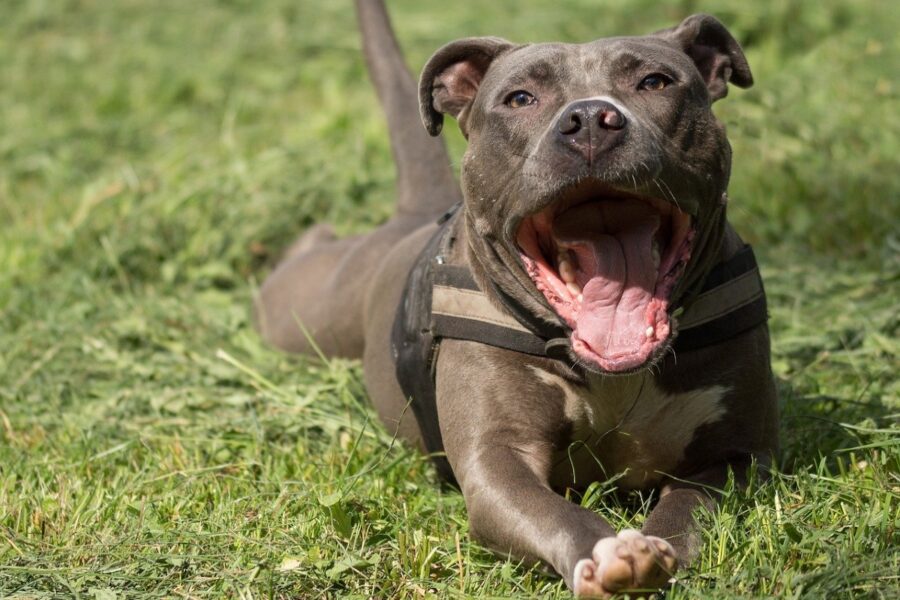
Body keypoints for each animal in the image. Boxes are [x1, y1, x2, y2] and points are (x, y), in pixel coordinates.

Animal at [256, 2, 776, 596]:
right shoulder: (496, 463)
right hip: (302, 310)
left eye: (655, 82)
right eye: (520, 98)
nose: (591, 119)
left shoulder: (739, 452)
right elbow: (554, 512)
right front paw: (608, 552)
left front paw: (655, 548)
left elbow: (689, 505)